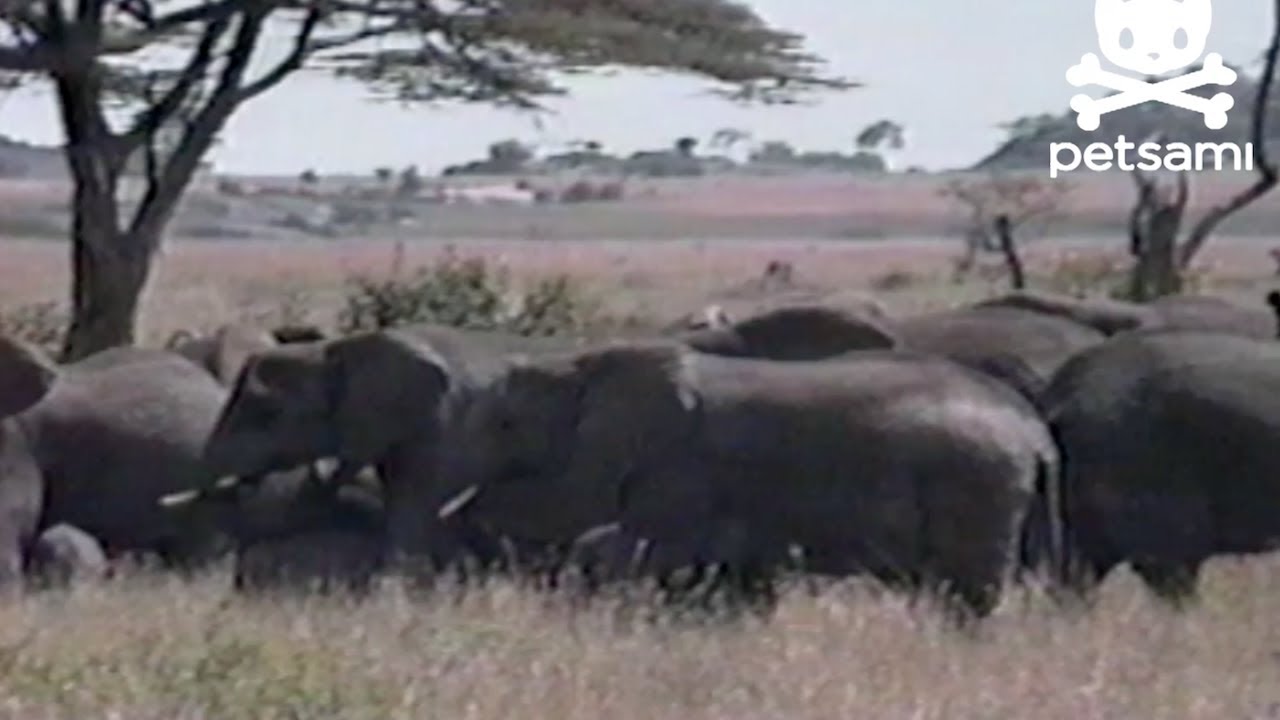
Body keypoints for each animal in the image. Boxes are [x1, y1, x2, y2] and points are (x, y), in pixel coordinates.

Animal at [434, 341, 1062, 619]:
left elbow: (648, 548)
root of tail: (1036, 432)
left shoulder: (678, 465)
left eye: (505, 423)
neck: (578, 366)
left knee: (968, 591)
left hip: (976, 482)